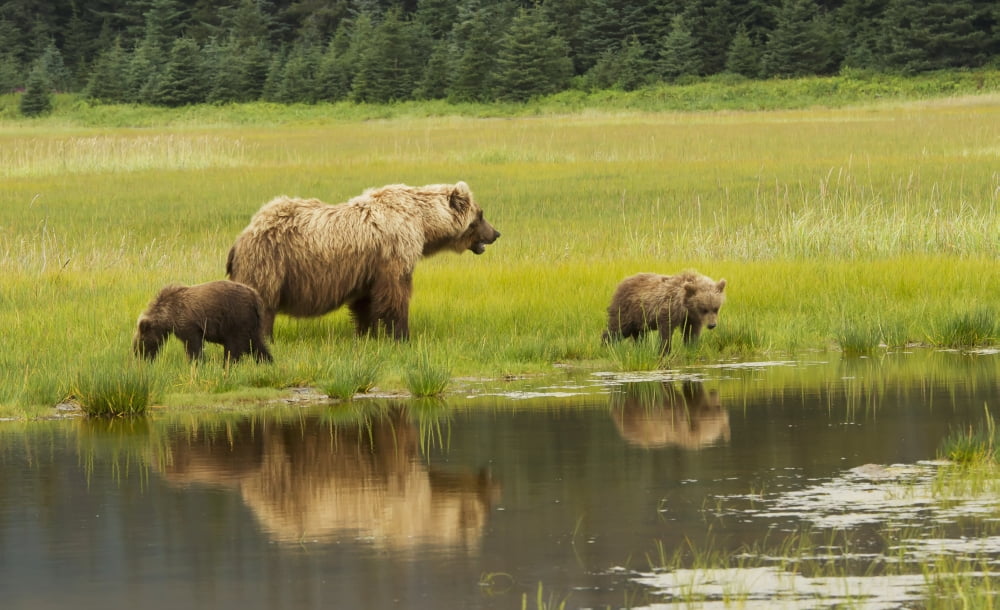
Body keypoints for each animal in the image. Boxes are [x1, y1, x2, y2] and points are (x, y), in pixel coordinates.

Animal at [133, 280, 273, 363]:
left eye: (141, 343)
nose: (139, 357)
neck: (168, 314)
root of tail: (255, 296)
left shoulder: (189, 323)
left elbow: (193, 345)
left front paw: (196, 362)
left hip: (237, 318)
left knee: (233, 346)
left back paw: (228, 363)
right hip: (252, 323)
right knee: (256, 344)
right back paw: (267, 361)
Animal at [225, 181, 500, 341]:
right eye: (481, 214)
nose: (496, 233)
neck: (422, 222)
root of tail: (241, 237)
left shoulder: (369, 267)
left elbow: (365, 301)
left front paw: (367, 333)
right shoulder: (395, 251)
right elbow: (395, 293)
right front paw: (401, 335)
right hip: (269, 262)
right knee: (261, 302)